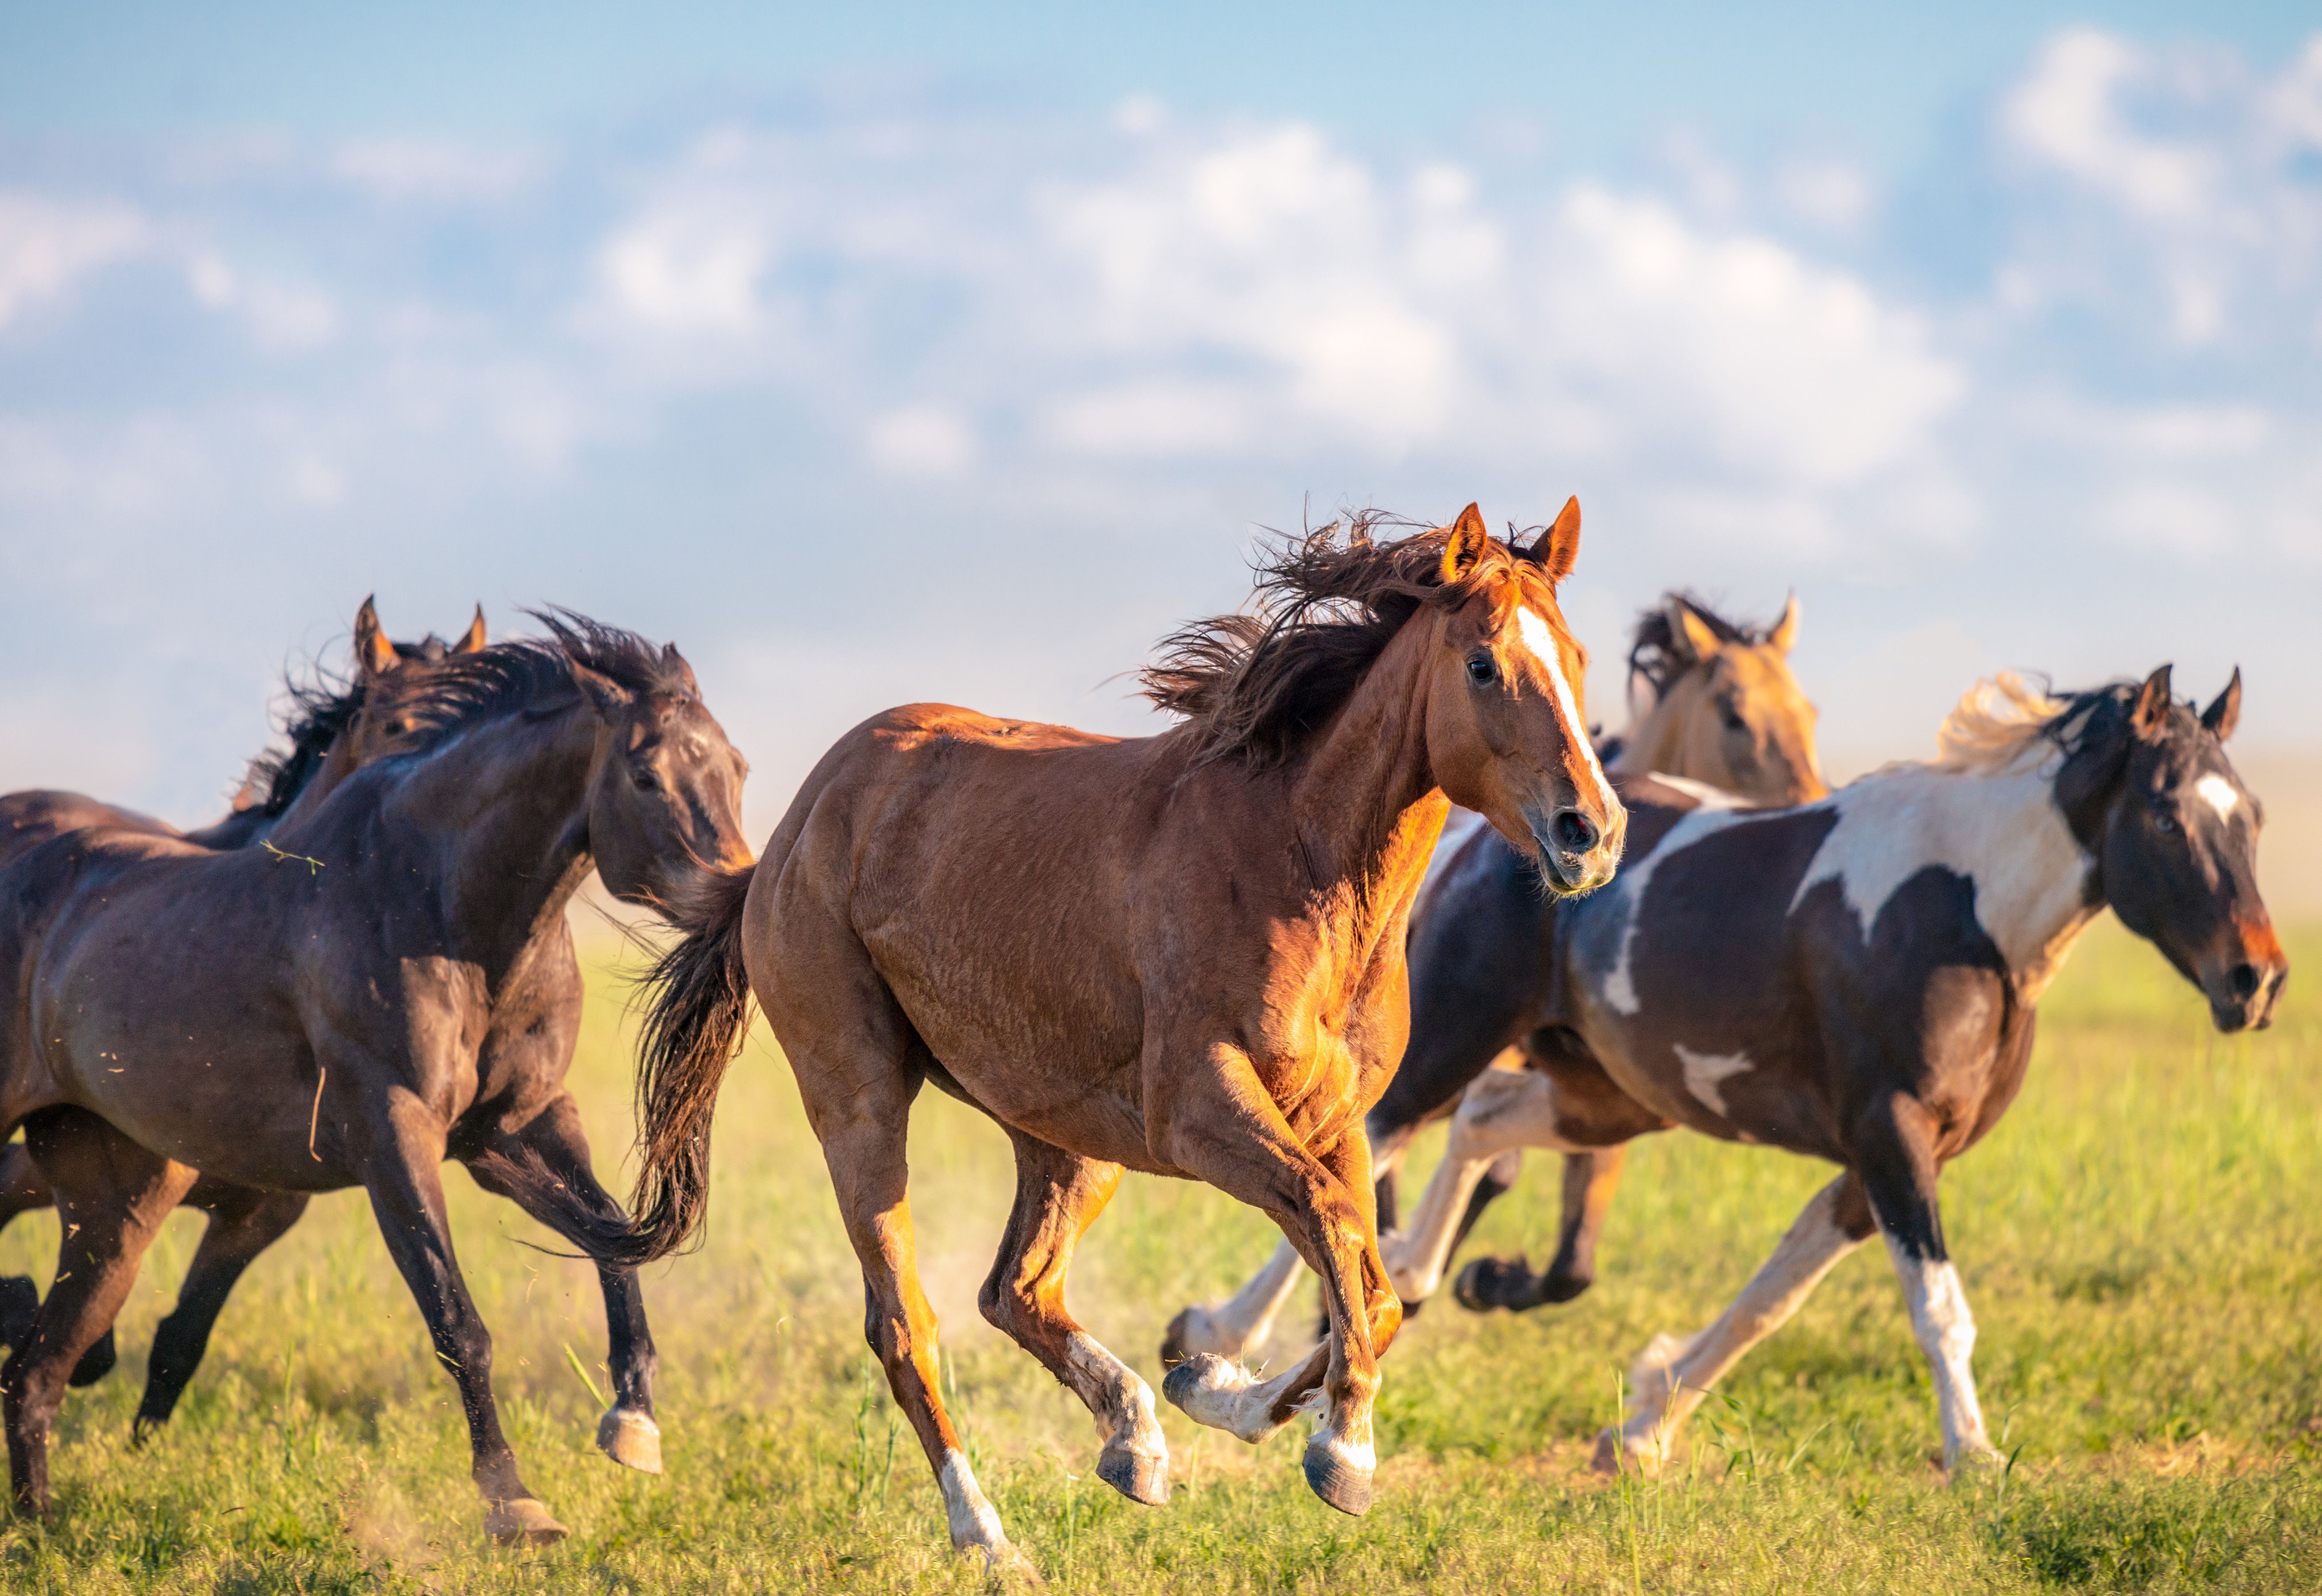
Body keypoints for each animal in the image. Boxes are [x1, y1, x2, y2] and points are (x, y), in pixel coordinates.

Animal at [0, 618, 747, 1542]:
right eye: (646, 773)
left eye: (738, 766)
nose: (740, 893)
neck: (438, 906)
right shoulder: (393, 1133)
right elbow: (457, 1318)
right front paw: (515, 1500)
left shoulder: (513, 1125)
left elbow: (612, 1234)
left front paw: (633, 1424)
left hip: (112, 1205)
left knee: (38, 1372)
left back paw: (42, 1529)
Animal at [585, 506, 1635, 1580]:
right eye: (1482, 663)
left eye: (1578, 657)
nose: (1590, 830)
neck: (1299, 867)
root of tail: (793, 830)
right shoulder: (1201, 1112)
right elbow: (1337, 1229)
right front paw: (1341, 1450)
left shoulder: (1336, 1117)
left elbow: (1366, 1277)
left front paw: (1219, 1387)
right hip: (861, 1104)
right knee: (905, 1325)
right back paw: (991, 1538)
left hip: (1068, 1138)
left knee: (1016, 1289)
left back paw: (1136, 1438)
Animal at [1356, 664, 2285, 1477]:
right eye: (2165, 817)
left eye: (2253, 815)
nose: (2257, 978)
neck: (1965, 914)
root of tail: (1487, 834)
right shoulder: (1891, 1135)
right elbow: (1938, 1309)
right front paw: (1975, 1456)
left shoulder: (1889, 1157)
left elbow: (1772, 1298)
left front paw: (1643, 1426)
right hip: (1453, 1037)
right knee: (1372, 1142)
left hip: (1611, 1094)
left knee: (1480, 1122)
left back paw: (1425, 1273)